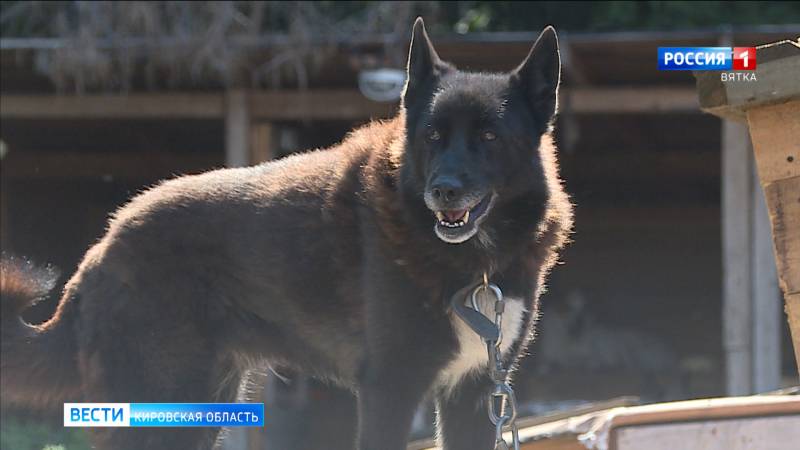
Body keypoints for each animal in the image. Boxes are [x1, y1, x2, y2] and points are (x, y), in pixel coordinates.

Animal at [3, 17, 572, 450]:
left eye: (489, 137)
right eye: (433, 136)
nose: (444, 192)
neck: (473, 263)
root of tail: (103, 247)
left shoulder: (473, 395)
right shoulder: (390, 389)